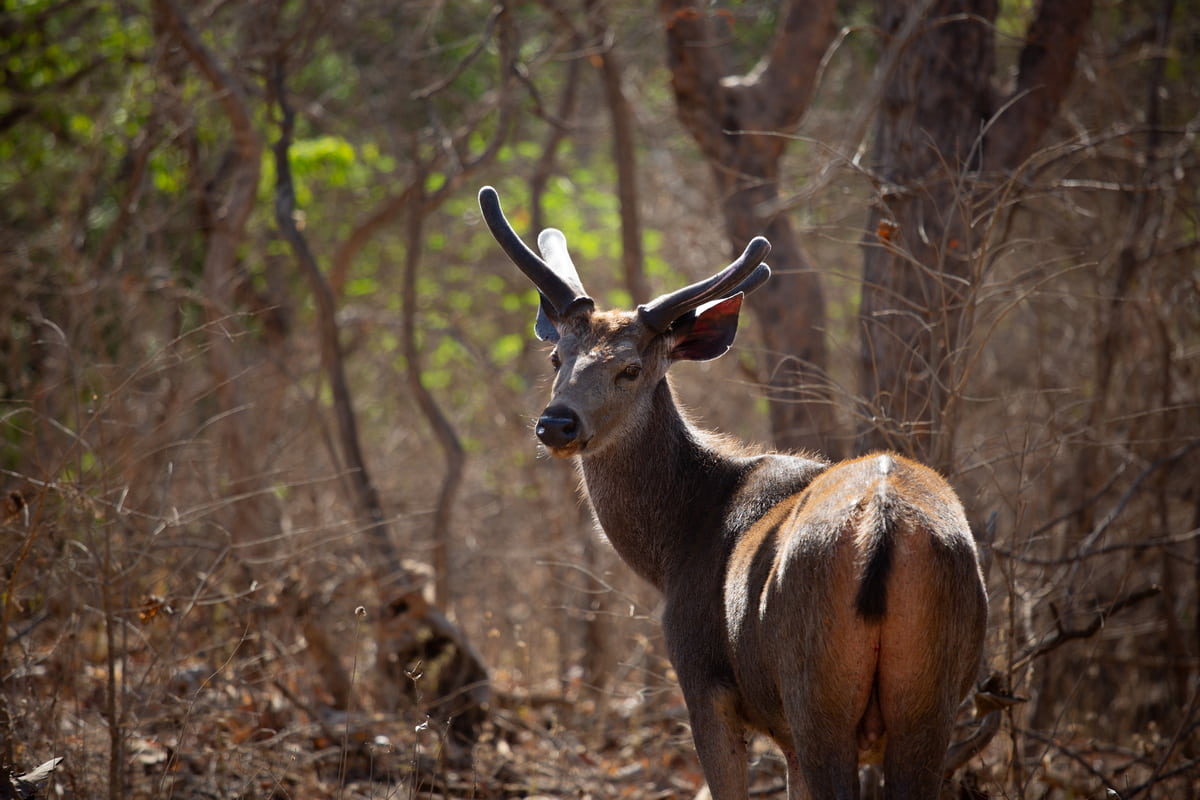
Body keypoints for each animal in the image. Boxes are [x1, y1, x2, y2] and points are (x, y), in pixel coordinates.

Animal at [480, 184, 993, 796]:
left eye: (630, 369)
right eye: (557, 357)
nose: (556, 424)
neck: (675, 548)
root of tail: (883, 527)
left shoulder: (704, 681)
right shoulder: (787, 732)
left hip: (816, 695)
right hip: (928, 698)